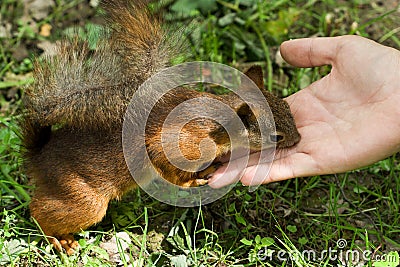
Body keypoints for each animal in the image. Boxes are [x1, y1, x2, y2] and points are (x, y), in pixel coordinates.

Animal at [18, 0, 300, 256]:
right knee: (39, 212)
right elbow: (172, 171)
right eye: (276, 136)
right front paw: (194, 180)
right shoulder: (177, 143)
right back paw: (58, 239)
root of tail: (38, 157)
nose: (298, 139)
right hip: (83, 199)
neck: (218, 126)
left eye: (287, 106)